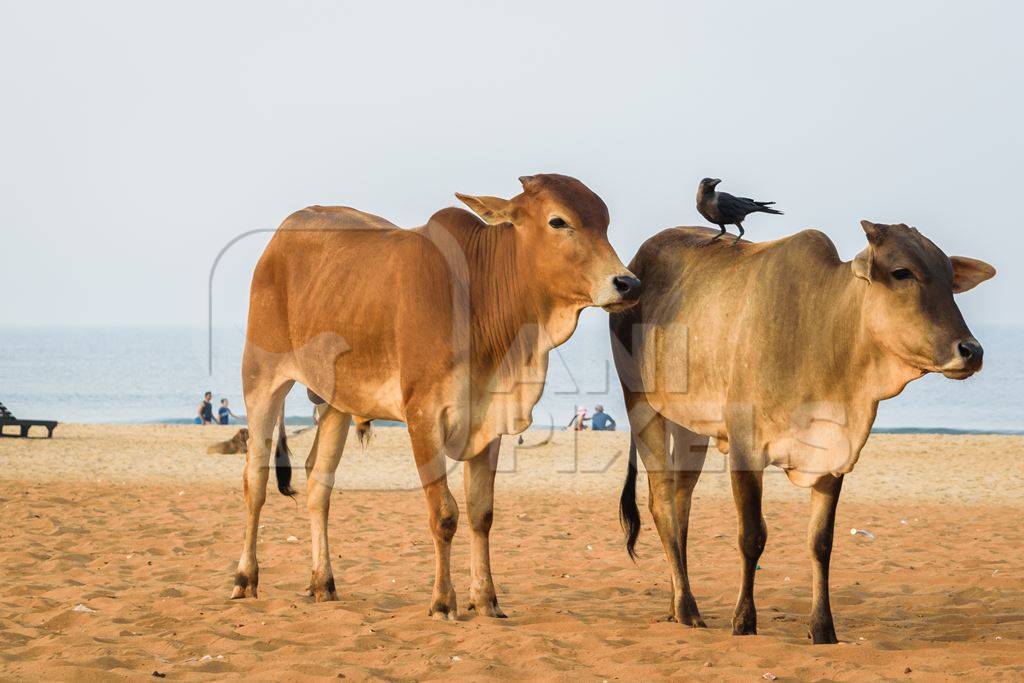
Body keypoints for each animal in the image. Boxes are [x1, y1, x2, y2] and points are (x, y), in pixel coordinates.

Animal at [232, 172, 638, 618]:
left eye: (605, 223)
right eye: (558, 221)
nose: (628, 283)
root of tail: (280, 239)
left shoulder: (489, 420)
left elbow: (481, 514)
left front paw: (486, 599)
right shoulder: (423, 417)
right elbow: (444, 514)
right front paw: (444, 600)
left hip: (337, 401)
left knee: (319, 486)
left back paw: (323, 582)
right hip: (261, 379)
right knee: (255, 480)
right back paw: (245, 577)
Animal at [610, 222, 995, 643]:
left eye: (948, 276)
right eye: (902, 272)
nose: (971, 351)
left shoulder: (834, 455)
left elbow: (821, 543)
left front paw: (823, 628)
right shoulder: (746, 450)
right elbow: (752, 536)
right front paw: (744, 621)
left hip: (689, 427)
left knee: (681, 501)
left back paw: (677, 604)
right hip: (642, 406)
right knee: (662, 501)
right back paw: (687, 608)